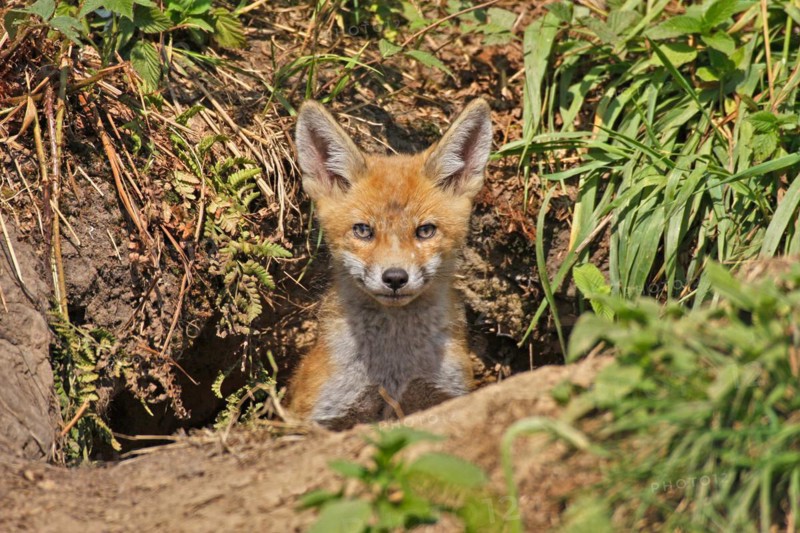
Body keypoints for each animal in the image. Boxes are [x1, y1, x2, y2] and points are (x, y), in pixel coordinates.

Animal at [288, 98, 493, 430]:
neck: (393, 367)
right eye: (363, 230)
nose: (395, 278)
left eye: (425, 231)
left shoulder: (446, 394)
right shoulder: (321, 414)